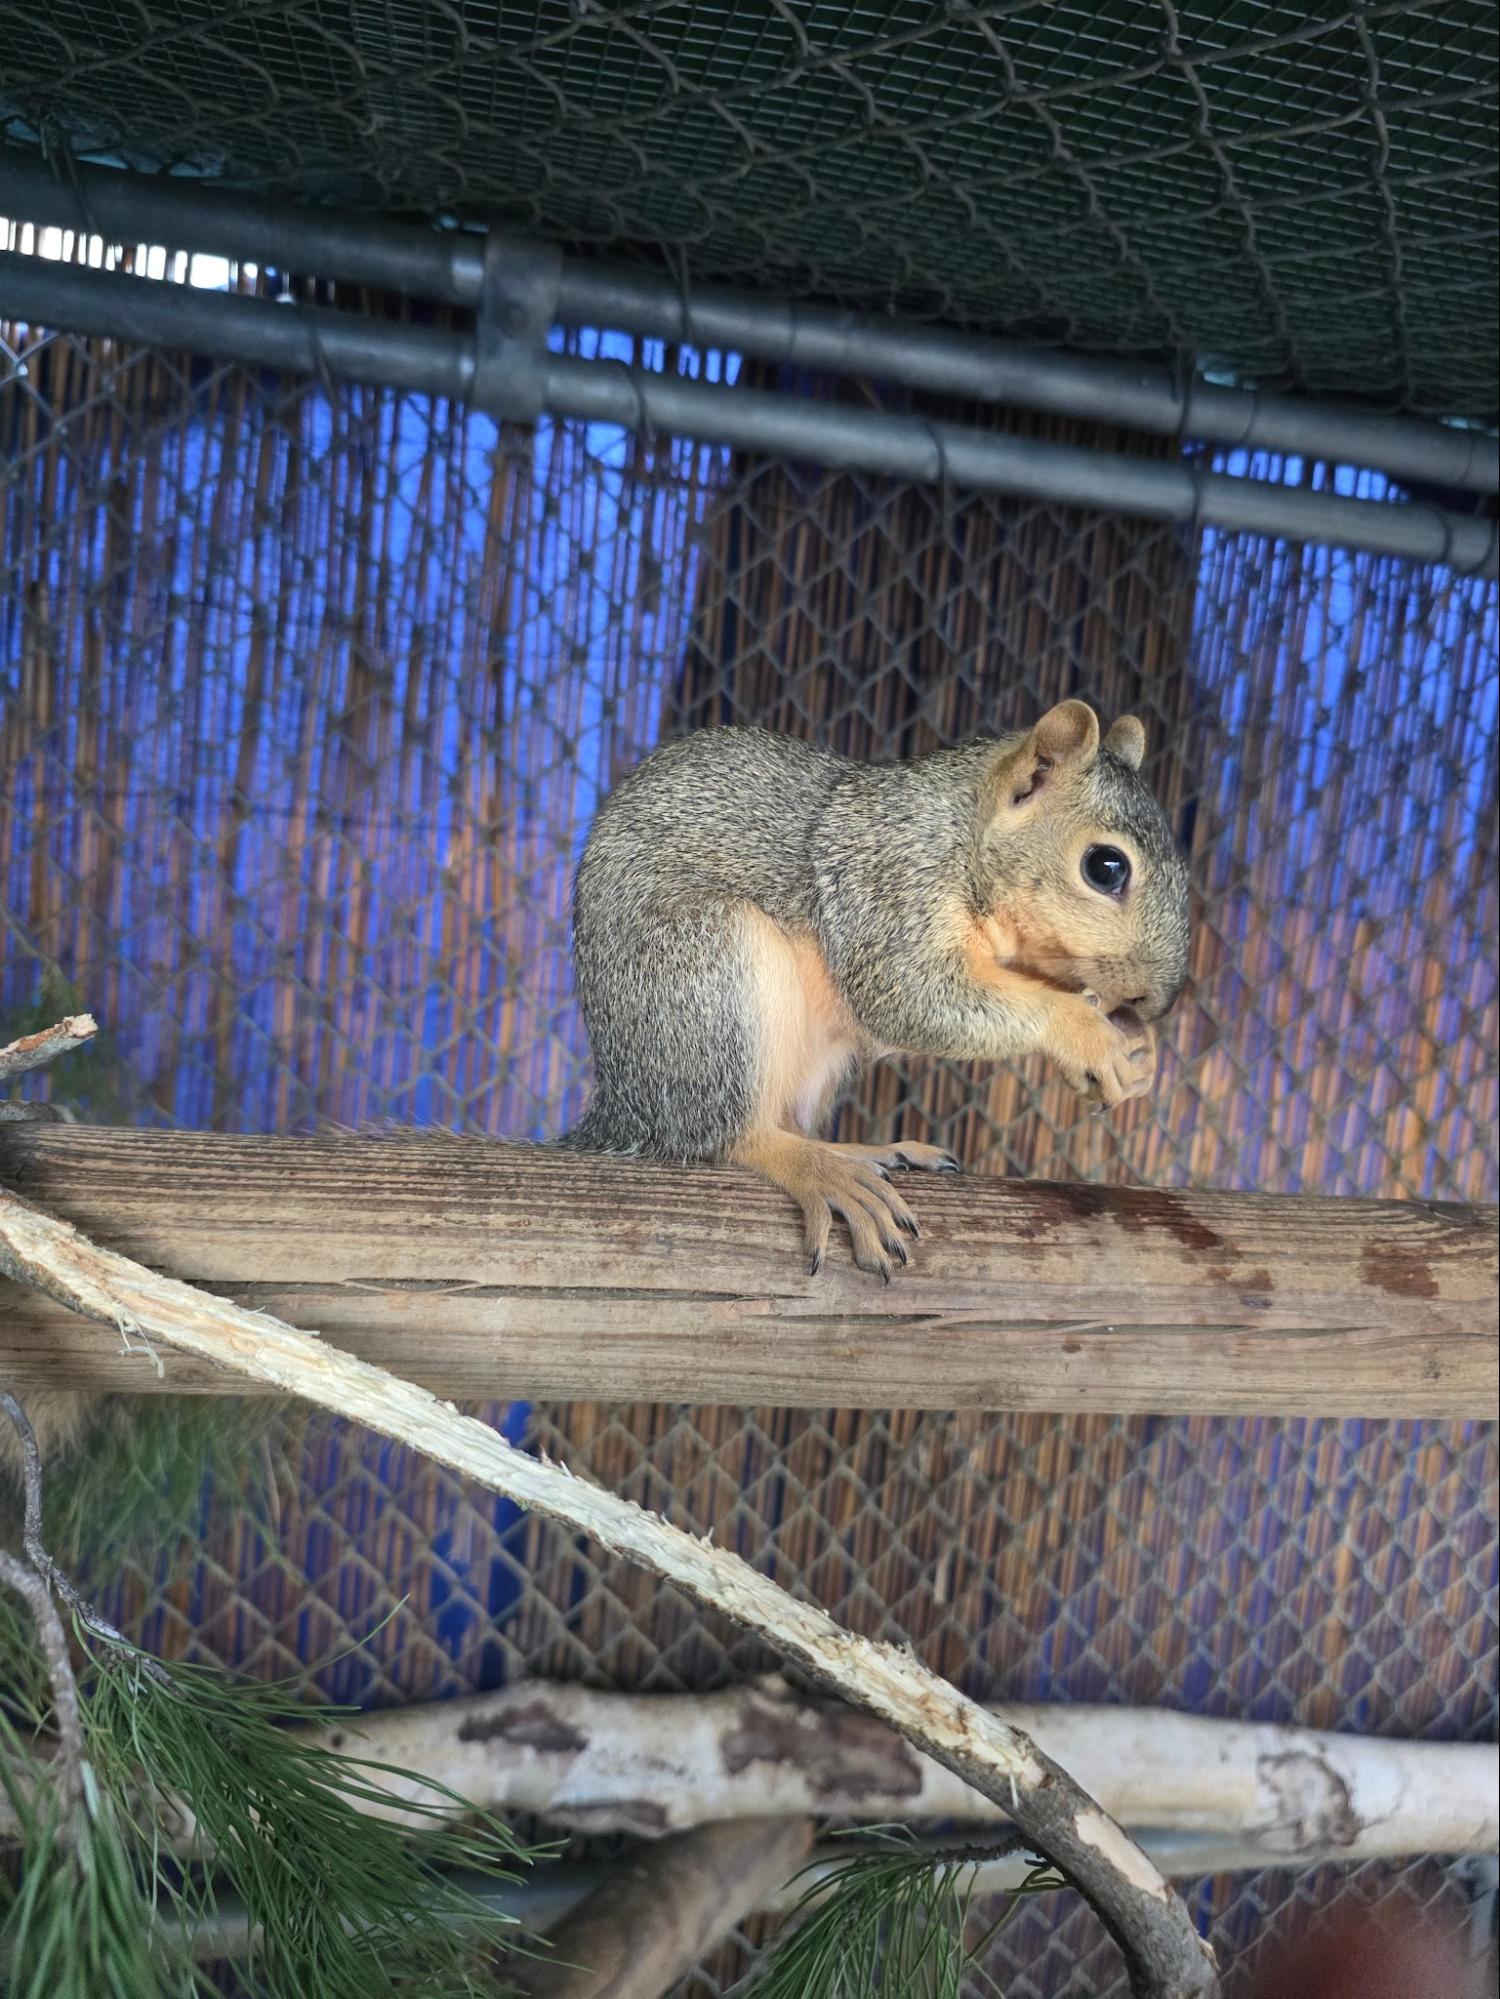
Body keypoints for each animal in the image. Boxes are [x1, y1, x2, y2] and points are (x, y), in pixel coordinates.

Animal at [563, 699, 1190, 1278]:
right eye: (1105, 867)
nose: (1156, 1002)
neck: (960, 832)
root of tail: (623, 1108)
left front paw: (1140, 1053)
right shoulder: (889, 886)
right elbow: (911, 994)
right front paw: (1086, 1032)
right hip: (705, 969)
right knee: (719, 1136)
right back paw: (820, 1168)